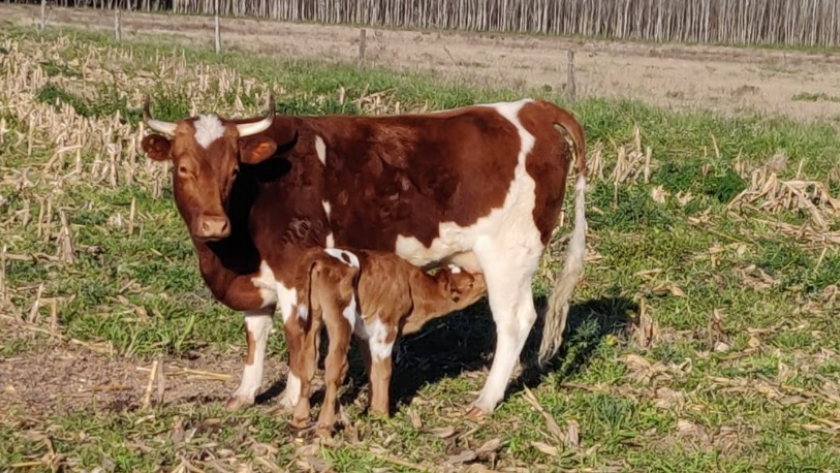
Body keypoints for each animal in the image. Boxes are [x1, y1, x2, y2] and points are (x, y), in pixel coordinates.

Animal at [139, 94, 584, 414]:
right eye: (182, 167)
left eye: (233, 170)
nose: (214, 225)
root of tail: (532, 107)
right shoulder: (255, 279)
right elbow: (255, 334)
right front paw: (245, 394)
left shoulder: (294, 269)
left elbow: (297, 334)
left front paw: (289, 399)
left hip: (509, 255)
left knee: (515, 321)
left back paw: (486, 401)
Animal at [288, 245, 488, 434]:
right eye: (470, 283)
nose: (486, 281)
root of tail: (320, 257)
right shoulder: (386, 326)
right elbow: (385, 371)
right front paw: (383, 415)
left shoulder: (366, 333)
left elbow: (372, 369)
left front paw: (373, 410)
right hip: (340, 317)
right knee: (335, 366)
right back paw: (324, 428)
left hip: (311, 315)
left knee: (307, 361)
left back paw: (300, 419)